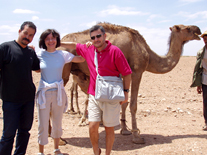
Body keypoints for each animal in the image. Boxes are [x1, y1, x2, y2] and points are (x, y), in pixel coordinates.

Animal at [59, 23, 201, 144]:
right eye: (187, 28)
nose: (198, 29)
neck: (148, 55)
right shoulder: (137, 71)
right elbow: (133, 104)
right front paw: (136, 136)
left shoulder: (124, 74)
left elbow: (124, 102)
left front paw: (125, 129)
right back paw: (62, 138)